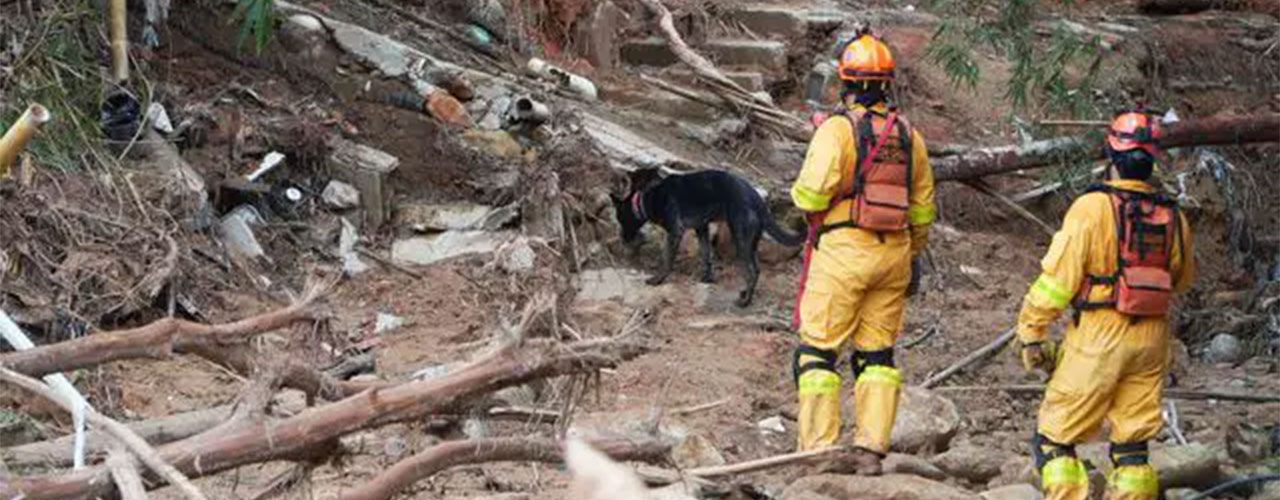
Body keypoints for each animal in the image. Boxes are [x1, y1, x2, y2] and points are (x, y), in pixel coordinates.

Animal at [614, 170, 803, 306]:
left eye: (620, 218)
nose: (623, 239)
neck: (648, 199)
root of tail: (756, 199)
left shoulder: (675, 231)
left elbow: (667, 258)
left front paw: (658, 280)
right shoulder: (701, 229)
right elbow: (706, 255)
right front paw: (707, 279)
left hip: (740, 239)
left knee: (751, 272)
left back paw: (745, 301)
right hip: (751, 244)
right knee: (756, 270)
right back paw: (745, 294)